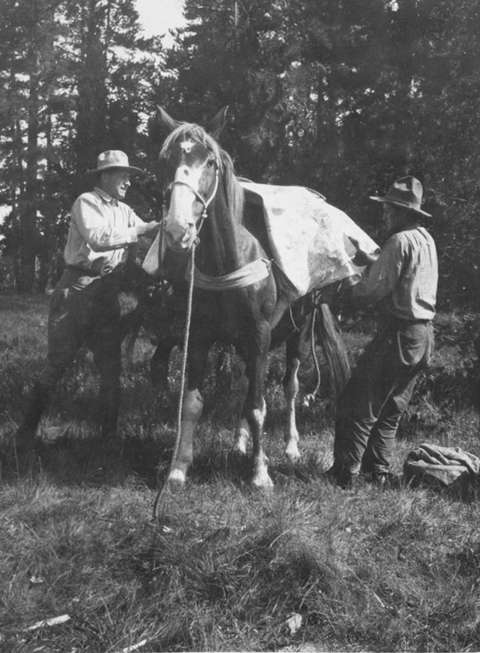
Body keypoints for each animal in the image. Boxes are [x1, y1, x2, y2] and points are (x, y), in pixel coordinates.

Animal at [152, 105, 354, 488]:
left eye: (210, 162)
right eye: (166, 159)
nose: (177, 228)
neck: (226, 263)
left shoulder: (259, 335)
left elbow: (259, 406)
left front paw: (260, 474)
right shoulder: (199, 337)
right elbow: (194, 403)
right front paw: (178, 468)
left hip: (297, 337)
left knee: (289, 387)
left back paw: (290, 447)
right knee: (246, 386)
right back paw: (240, 442)